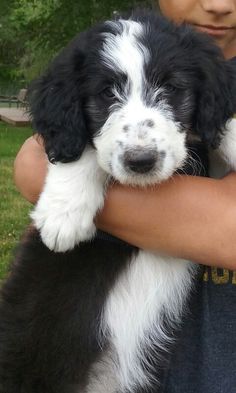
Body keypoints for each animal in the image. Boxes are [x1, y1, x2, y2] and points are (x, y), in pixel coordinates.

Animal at [0, 9, 236, 392]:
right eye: (106, 94)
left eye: (172, 89)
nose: (141, 162)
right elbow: (86, 145)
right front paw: (62, 215)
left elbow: (217, 124)